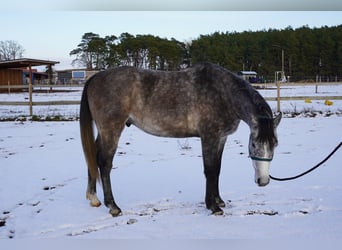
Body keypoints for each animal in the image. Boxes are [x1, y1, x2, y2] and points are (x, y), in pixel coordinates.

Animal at [80, 62, 280, 215]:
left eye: (275, 144)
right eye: (253, 144)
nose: (263, 181)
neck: (224, 94)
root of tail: (94, 78)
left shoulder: (221, 138)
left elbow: (217, 169)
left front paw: (218, 200)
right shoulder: (210, 137)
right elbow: (210, 170)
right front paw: (213, 206)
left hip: (103, 132)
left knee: (92, 157)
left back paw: (94, 198)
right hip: (111, 130)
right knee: (104, 163)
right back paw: (113, 206)